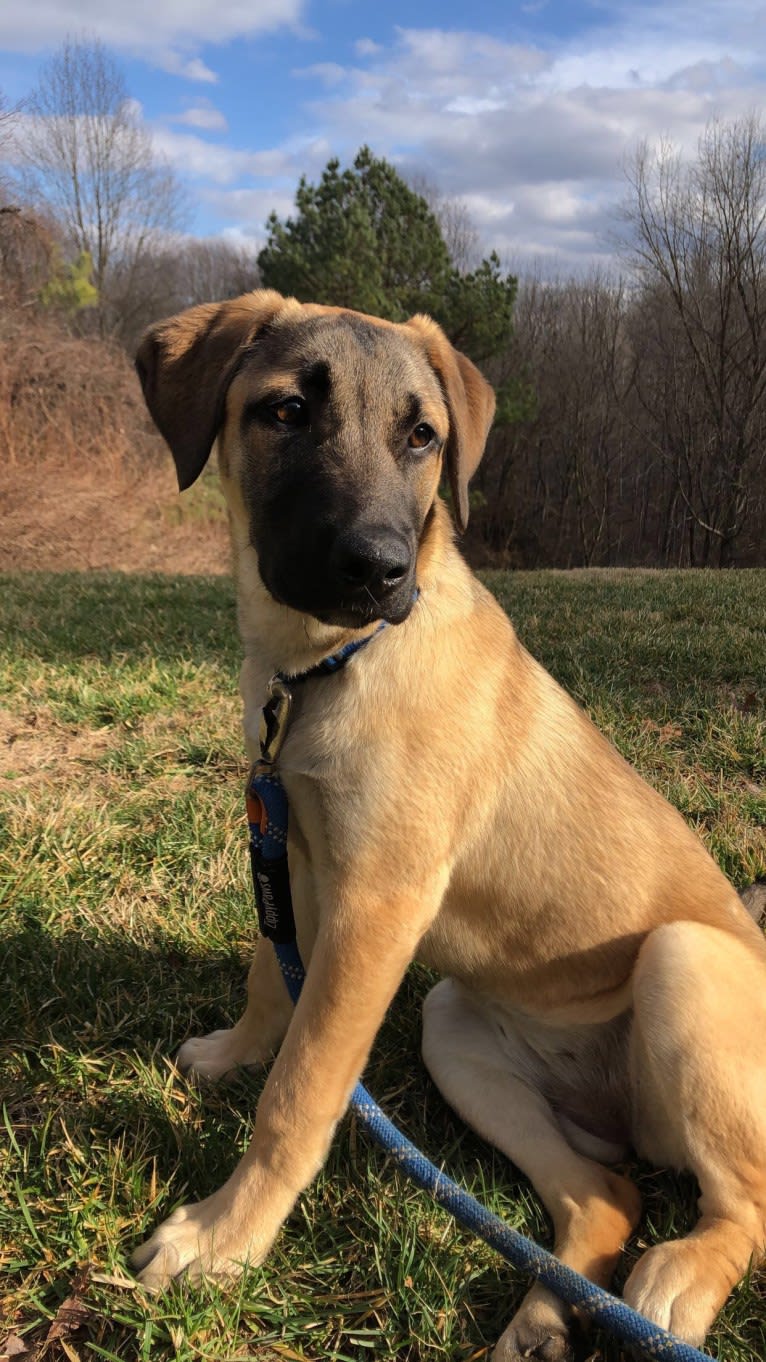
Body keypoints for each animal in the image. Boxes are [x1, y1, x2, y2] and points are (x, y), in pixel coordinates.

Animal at [132, 292, 763, 1356]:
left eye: (423, 436)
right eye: (285, 411)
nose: (379, 570)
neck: (327, 663)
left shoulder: (378, 904)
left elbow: (301, 1092)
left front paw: (222, 1238)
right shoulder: (292, 846)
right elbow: (268, 975)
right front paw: (232, 1052)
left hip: (682, 961)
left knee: (743, 1203)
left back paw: (677, 1281)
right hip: (455, 1027)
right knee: (606, 1196)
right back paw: (547, 1316)